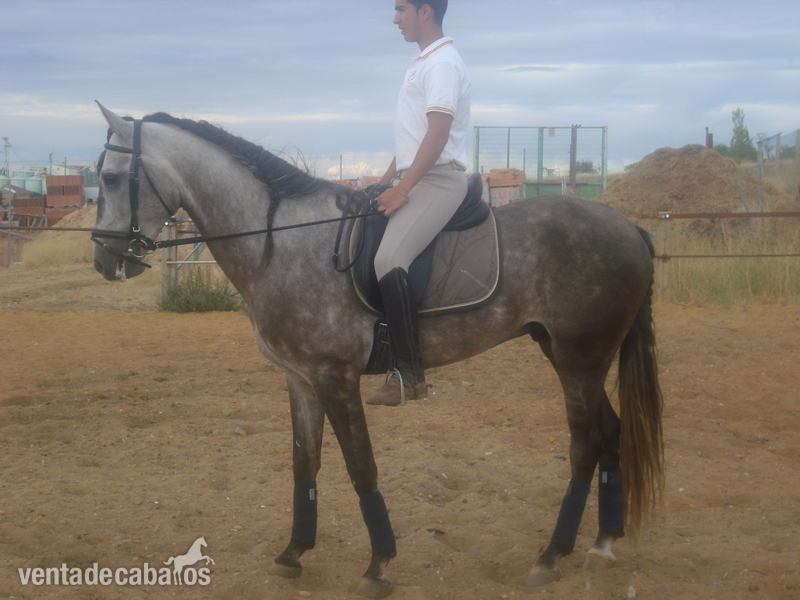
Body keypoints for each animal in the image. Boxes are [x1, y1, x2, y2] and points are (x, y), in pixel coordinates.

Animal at [93, 103, 663, 598]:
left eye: (112, 179)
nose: (103, 260)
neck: (281, 241)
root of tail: (627, 226)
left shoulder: (335, 377)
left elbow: (360, 466)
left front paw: (378, 564)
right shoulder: (300, 378)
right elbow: (304, 462)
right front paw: (293, 553)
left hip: (579, 359)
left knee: (586, 444)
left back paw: (551, 555)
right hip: (569, 355)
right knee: (610, 433)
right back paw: (602, 544)